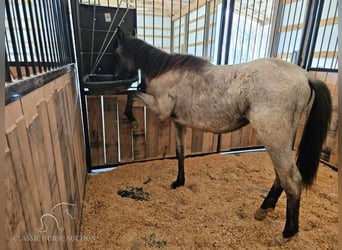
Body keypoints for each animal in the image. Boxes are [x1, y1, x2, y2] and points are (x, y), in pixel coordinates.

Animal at [112, 27, 332, 246]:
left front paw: (130, 117)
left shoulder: (160, 109)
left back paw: (286, 233)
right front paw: (179, 182)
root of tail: (305, 75)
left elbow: (131, 96)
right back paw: (264, 209)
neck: (165, 71)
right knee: (281, 176)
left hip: (274, 139)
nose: (116, 79)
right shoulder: (178, 122)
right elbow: (180, 152)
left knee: (291, 180)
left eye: (116, 54)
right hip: (281, 142)